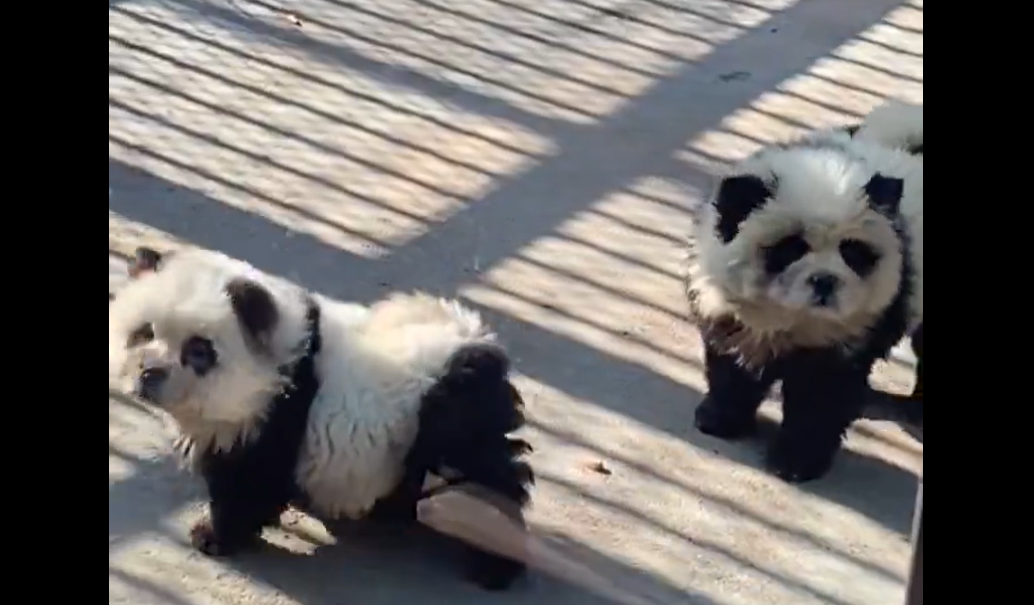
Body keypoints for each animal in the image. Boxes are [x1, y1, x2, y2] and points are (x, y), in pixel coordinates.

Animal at [108, 247, 534, 590]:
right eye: (142, 332)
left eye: (198, 351)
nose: (149, 374)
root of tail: (476, 345)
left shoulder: (276, 414)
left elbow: (248, 483)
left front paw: (213, 535)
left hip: (451, 421)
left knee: (491, 480)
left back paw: (495, 563)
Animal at [683, 100, 923, 482]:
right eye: (791, 247)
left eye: (852, 252)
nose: (825, 281)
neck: (793, 319)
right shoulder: (727, 307)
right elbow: (731, 364)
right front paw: (719, 419)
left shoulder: (853, 331)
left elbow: (821, 396)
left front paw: (795, 461)